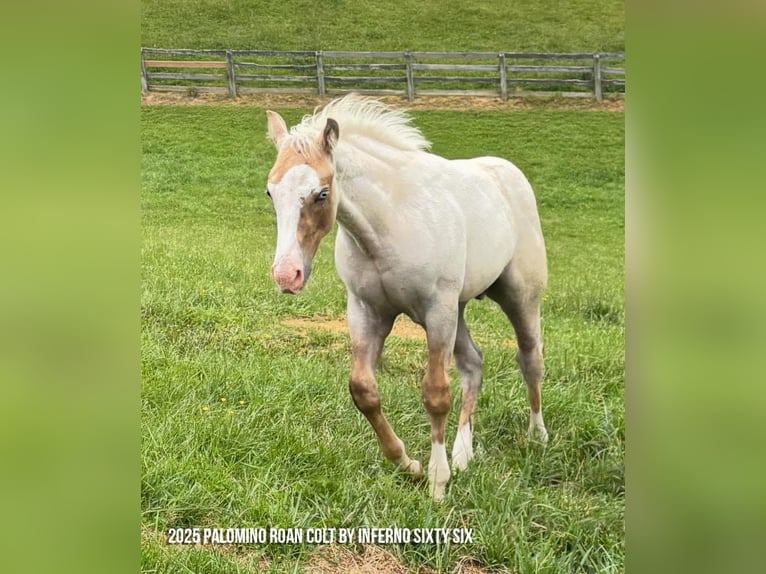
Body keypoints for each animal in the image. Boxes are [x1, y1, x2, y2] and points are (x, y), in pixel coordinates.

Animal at [264, 95, 548, 501]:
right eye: (271, 192)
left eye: (322, 193)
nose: (287, 275)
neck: (390, 222)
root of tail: (510, 173)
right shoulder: (366, 312)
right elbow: (363, 390)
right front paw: (408, 464)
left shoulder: (437, 311)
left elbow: (435, 394)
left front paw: (438, 481)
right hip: (459, 309)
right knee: (473, 363)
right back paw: (464, 453)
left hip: (519, 296)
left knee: (530, 358)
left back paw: (536, 437)